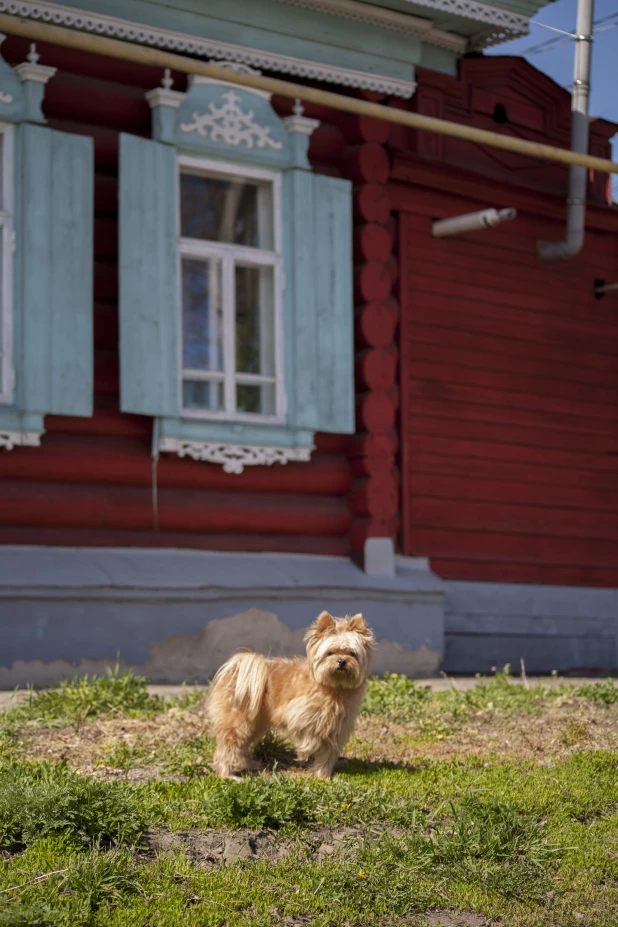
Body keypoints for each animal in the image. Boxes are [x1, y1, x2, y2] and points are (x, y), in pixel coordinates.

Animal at [207, 612, 372, 780]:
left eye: (351, 653)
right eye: (329, 653)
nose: (341, 661)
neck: (333, 688)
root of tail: (235, 668)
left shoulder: (336, 731)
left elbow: (327, 756)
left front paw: (323, 777)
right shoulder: (298, 714)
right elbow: (310, 735)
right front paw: (307, 750)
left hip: (255, 724)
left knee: (242, 746)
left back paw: (247, 764)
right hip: (237, 722)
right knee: (227, 746)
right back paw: (227, 774)